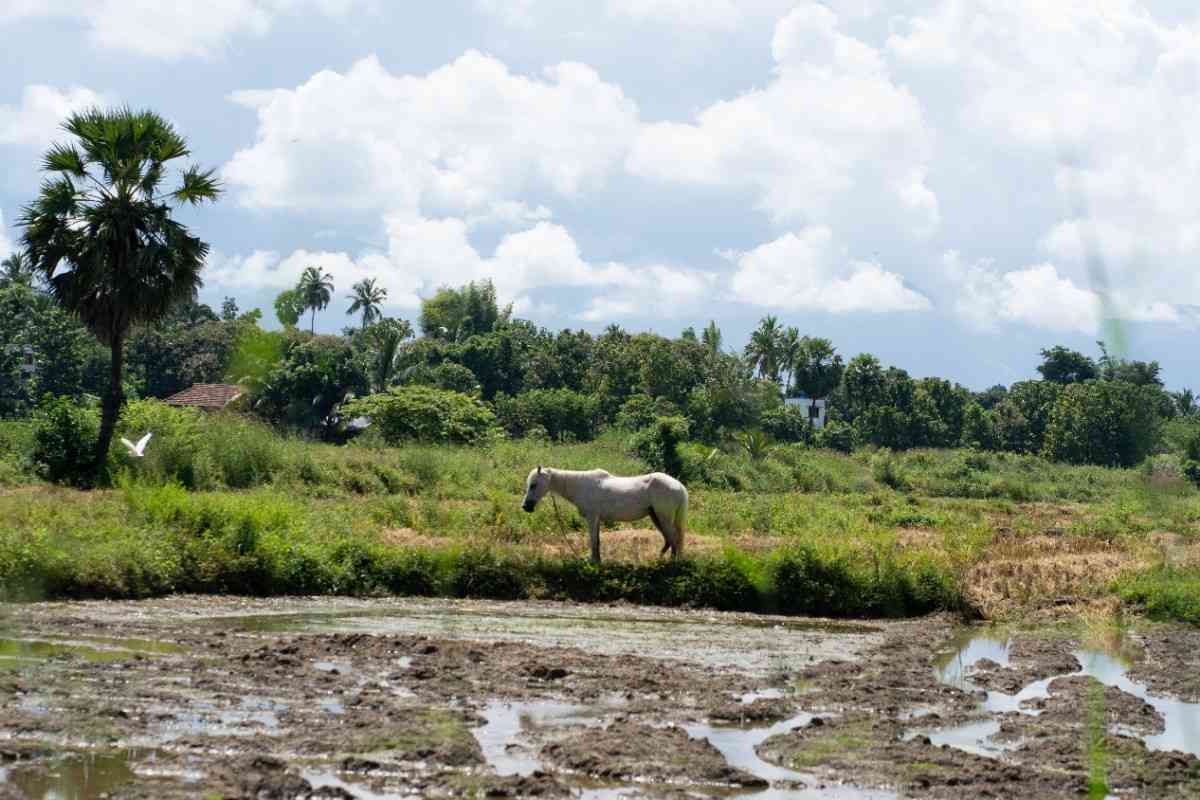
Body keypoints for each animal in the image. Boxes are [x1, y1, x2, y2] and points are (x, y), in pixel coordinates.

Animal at [520, 465, 691, 566]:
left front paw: (593, 562)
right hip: (656, 517)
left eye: (534, 485)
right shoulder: (597, 520)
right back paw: (659, 559)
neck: (581, 486)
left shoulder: (592, 518)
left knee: (674, 539)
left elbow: (593, 541)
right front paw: (598, 561)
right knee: (669, 539)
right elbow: (597, 541)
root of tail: (679, 486)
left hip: (663, 518)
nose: (526, 507)